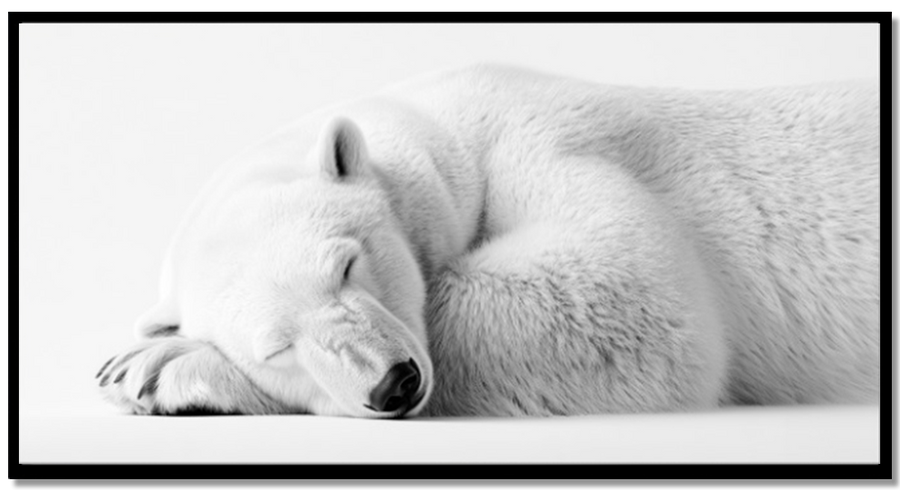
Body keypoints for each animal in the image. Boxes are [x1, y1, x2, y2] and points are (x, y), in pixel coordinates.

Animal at [97, 64, 880, 417]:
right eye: (276, 348)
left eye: (348, 264)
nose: (394, 382)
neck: (449, 131)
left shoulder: (542, 141)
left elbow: (636, 296)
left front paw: (155, 366)